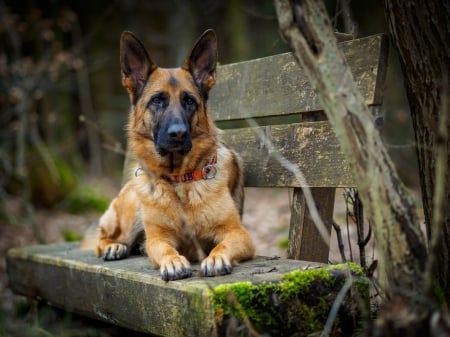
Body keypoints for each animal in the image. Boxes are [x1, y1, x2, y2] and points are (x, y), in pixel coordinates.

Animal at [92, 29, 253, 280]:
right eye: (157, 100)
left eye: (189, 101)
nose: (178, 133)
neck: (178, 180)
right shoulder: (158, 238)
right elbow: (164, 248)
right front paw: (173, 261)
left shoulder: (239, 234)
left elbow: (222, 244)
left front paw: (216, 258)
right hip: (130, 215)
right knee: (103, 238)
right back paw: (114, 246)